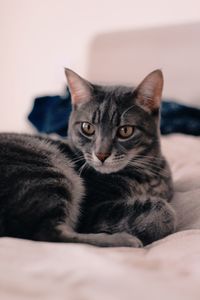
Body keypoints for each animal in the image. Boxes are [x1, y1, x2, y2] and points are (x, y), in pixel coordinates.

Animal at [0, 69, 176, 247]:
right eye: (87, 128)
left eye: (125, 131)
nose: (101, 154)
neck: (148, 173)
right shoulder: (93, 209)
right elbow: (165, 211)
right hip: (46, 169)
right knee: (47, 233)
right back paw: (125, 239)